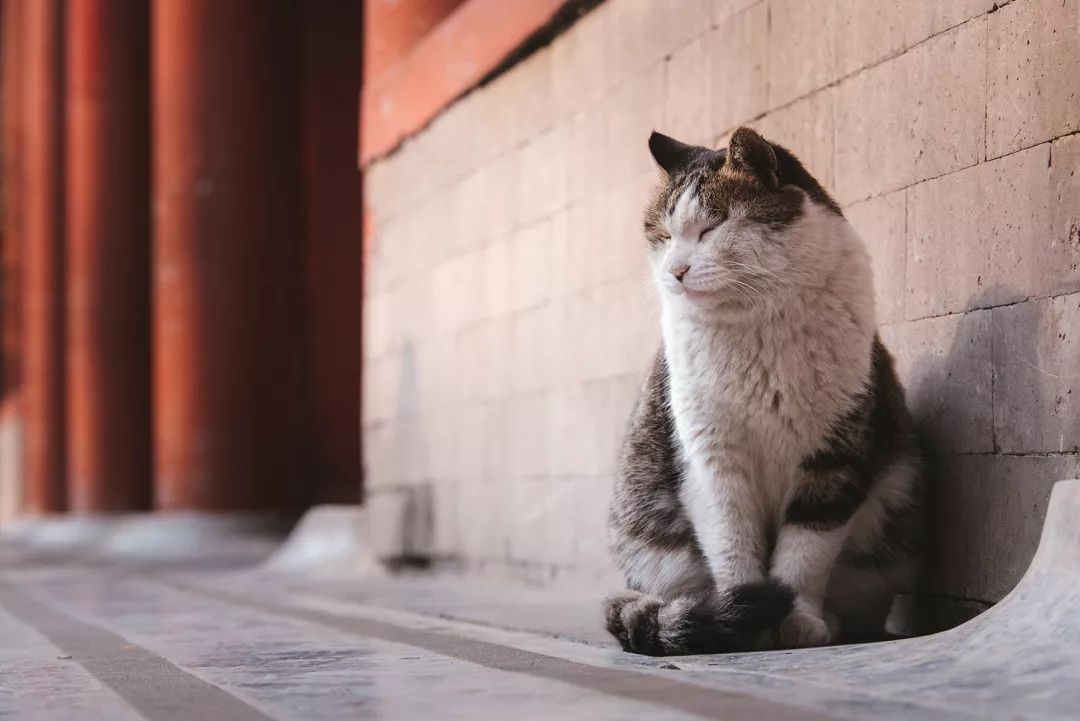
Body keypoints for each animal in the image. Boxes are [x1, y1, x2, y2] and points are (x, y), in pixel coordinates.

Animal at [604, 126, 924, 656]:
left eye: (711, 228)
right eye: (664, 235)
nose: (675, 270)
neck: (755, 324)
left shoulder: (836, 456)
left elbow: (806, 553)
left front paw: (797, 621)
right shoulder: (711, 456)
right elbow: (732, 542)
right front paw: (743, 617)